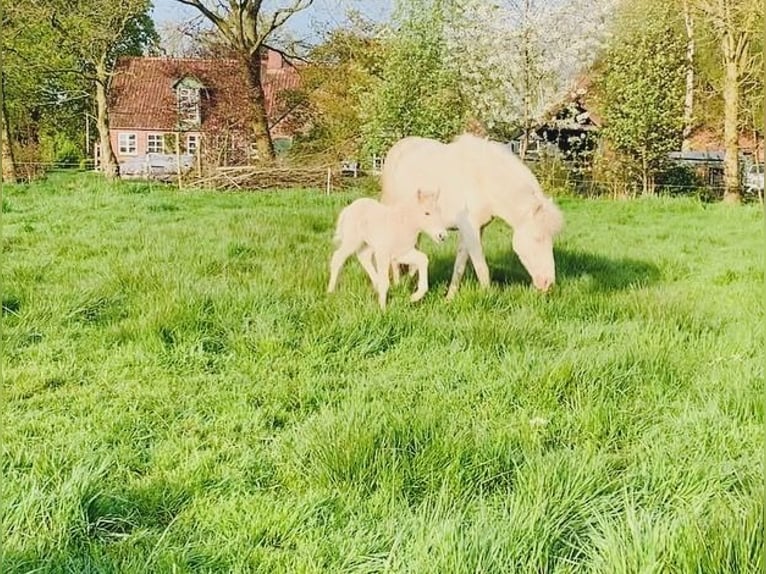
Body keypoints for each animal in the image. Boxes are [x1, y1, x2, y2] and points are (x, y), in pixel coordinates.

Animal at [382, 133, 568, 300]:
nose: (548, 283)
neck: (483, 180)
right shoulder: (470, 229)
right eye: (537, 238)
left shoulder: (474, 230)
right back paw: (397, 284)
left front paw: (449, 298)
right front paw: (489, 297)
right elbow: (481, 267)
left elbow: (460, 266)